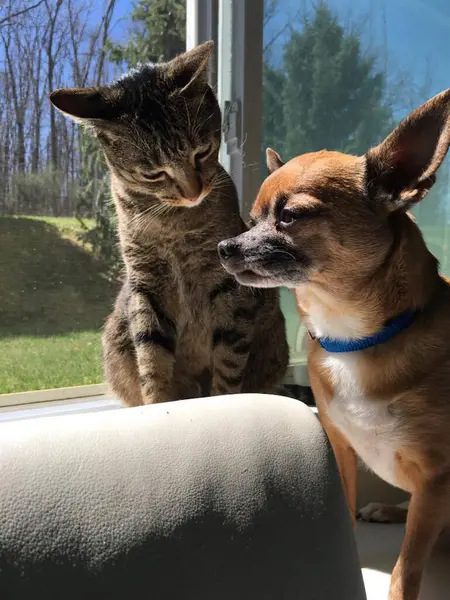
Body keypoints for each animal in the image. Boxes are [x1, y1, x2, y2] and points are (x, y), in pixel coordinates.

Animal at [49, 42, 288, 406]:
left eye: (201, 152)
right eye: (153, 173)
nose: (193, 191)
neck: (175, 225)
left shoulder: (230, 289)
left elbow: (228, 365)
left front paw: (220, 402)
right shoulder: (145, 287)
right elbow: (152, 357)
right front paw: (159, 405)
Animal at [219, 90, 450, 600]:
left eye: (289, 216)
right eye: (251, 221)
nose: (225, 245)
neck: (354, 338)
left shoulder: (437, 478)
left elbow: (407, 566)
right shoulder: (342, 451)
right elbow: (342, 514)